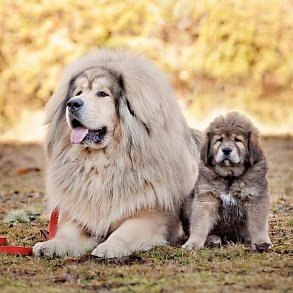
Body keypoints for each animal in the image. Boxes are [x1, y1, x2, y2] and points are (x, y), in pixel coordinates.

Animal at [32, 48, 201, 258]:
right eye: (79, 93)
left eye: (102, 94)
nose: (72, 104)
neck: (101, 165)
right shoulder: (79, 217)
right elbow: (66, 234)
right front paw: (51, 245)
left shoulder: (149, 218)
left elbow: (124, 232)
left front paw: (108, 246)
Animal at [181, 112, 270, 251]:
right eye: (219, 140)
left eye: (237, 140)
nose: (226, 150)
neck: (229, 177)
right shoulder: (207, 198)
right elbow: (199, 224)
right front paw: (193, 243)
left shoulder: (255, 198)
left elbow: (258, 224)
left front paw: (261, 243)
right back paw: (213, 239)